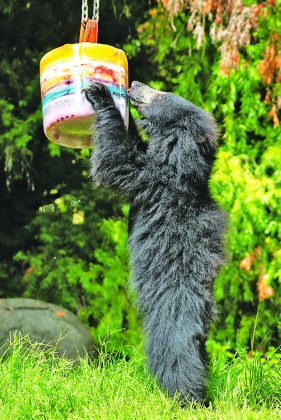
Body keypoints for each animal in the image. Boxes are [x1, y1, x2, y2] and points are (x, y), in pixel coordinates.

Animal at [84, 81, 226, 404]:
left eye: (160, 95)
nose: (135, 83)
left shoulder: (150, 180)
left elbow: (117, 159)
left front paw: (99, 94)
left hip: (169, 320)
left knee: (174, 355)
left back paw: (182, 396)